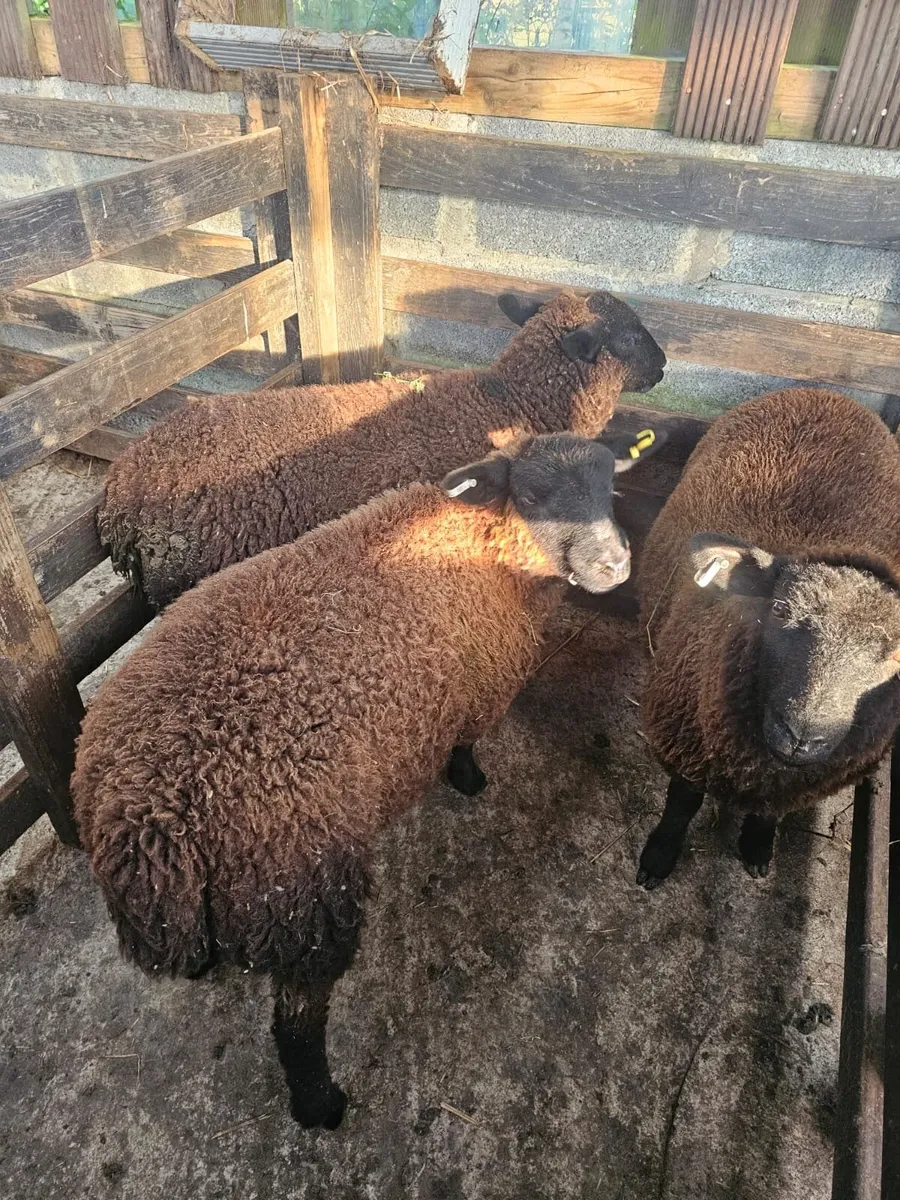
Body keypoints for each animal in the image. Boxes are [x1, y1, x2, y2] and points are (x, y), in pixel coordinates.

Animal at [73, 425, 665, 1130]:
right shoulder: (476, 685)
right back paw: (321, 1106)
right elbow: (464, 744)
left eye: (610, 486)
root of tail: (145, 819)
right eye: (532, 494)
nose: (614, 566)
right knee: (297, 1024)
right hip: (302, 897)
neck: (479, 540)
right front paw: (469, 780)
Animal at [635, 387, 900, 890]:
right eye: (778, 610)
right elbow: (680, 805)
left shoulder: (790, 787)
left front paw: (758, 850)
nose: (802, 736)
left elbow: (768, 815)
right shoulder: (689, 742)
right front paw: (658, 856)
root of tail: (821, 391)